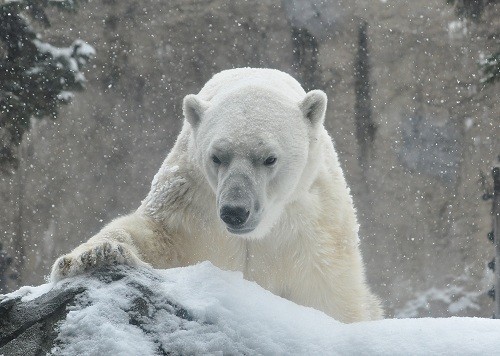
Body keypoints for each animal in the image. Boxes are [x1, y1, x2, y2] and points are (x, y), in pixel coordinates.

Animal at [51, 67, 382, 322]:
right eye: (217, 156)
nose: (235, 211)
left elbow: (328, 294)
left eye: (269, 158)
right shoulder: (191, 202)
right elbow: (155, 234)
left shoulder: (311, 228)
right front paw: (94, 255)